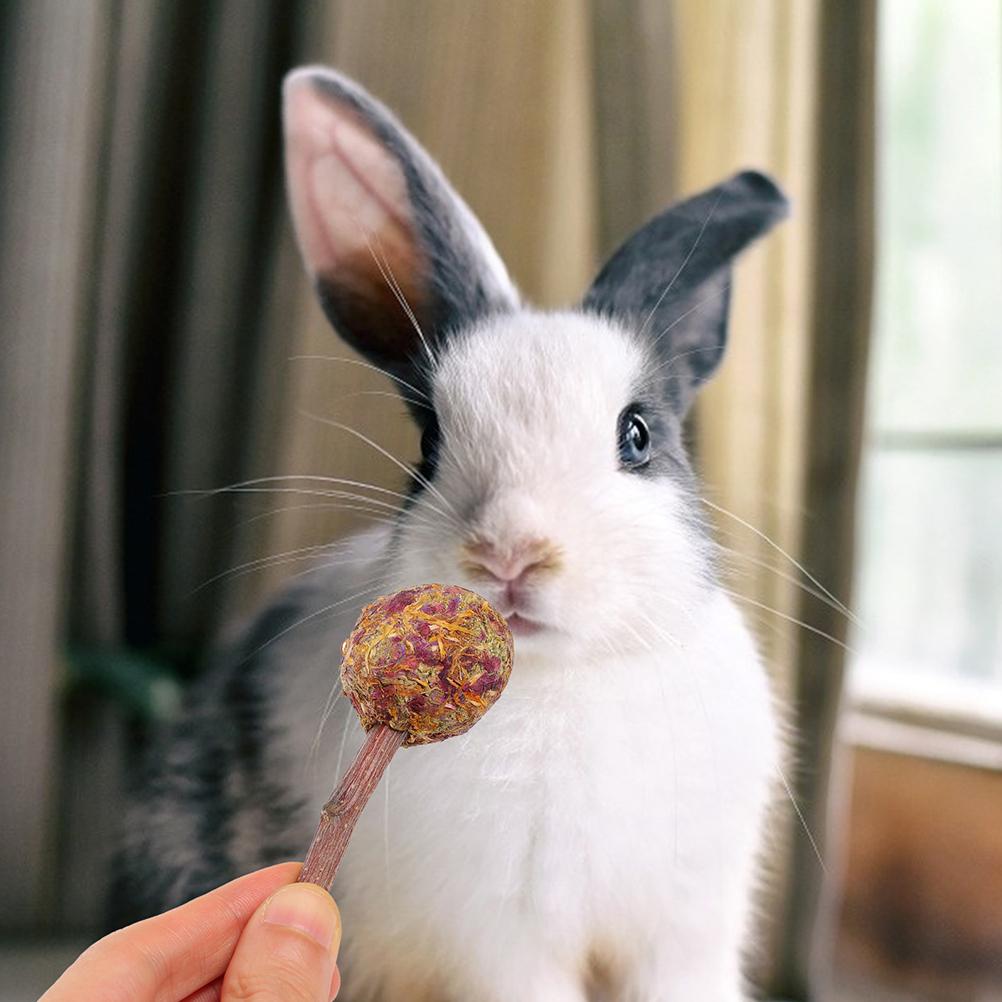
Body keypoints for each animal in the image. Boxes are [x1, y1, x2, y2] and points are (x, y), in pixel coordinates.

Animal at [111, 66, 789, 1002]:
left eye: (638, 435)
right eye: (430, 444)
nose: (511, 554)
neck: (565, 681)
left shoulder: (686, 930)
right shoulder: (502, 941)